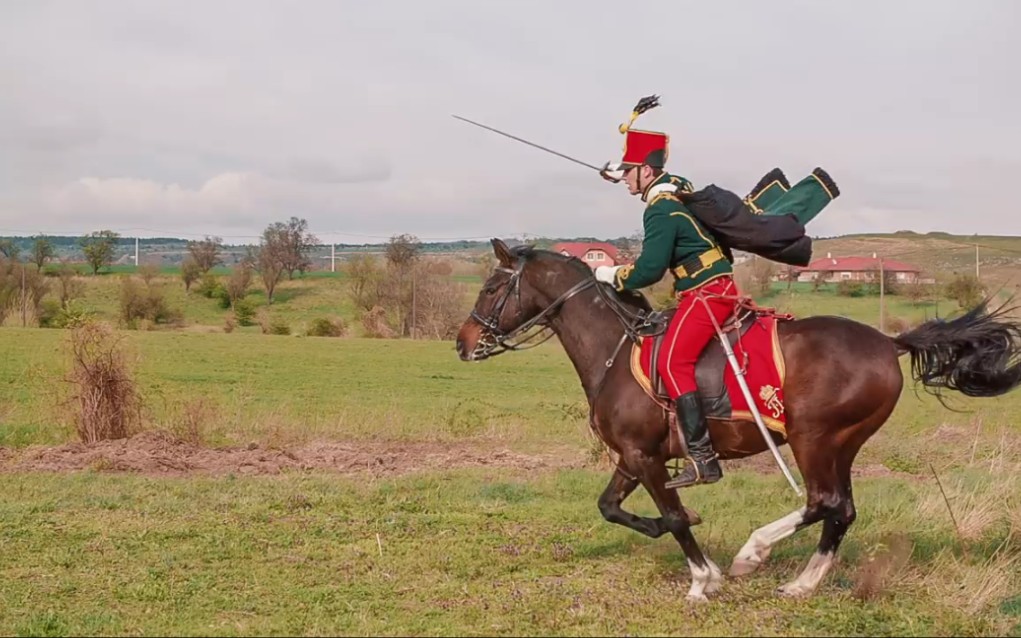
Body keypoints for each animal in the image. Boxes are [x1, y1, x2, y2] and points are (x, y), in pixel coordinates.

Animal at [457, 236, 1021, 600]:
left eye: (490, 289)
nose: (463, 343)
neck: (614, 348)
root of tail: (889, 342)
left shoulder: (643, 456)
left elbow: (674, 517)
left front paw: (703, 577)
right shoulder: (636, 455)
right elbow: (612, 507)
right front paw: (675, 532)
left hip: (812, 438)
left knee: (822, 502)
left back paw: (754, 553)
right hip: (842, 444)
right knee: (842, 510)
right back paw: (802, 583)